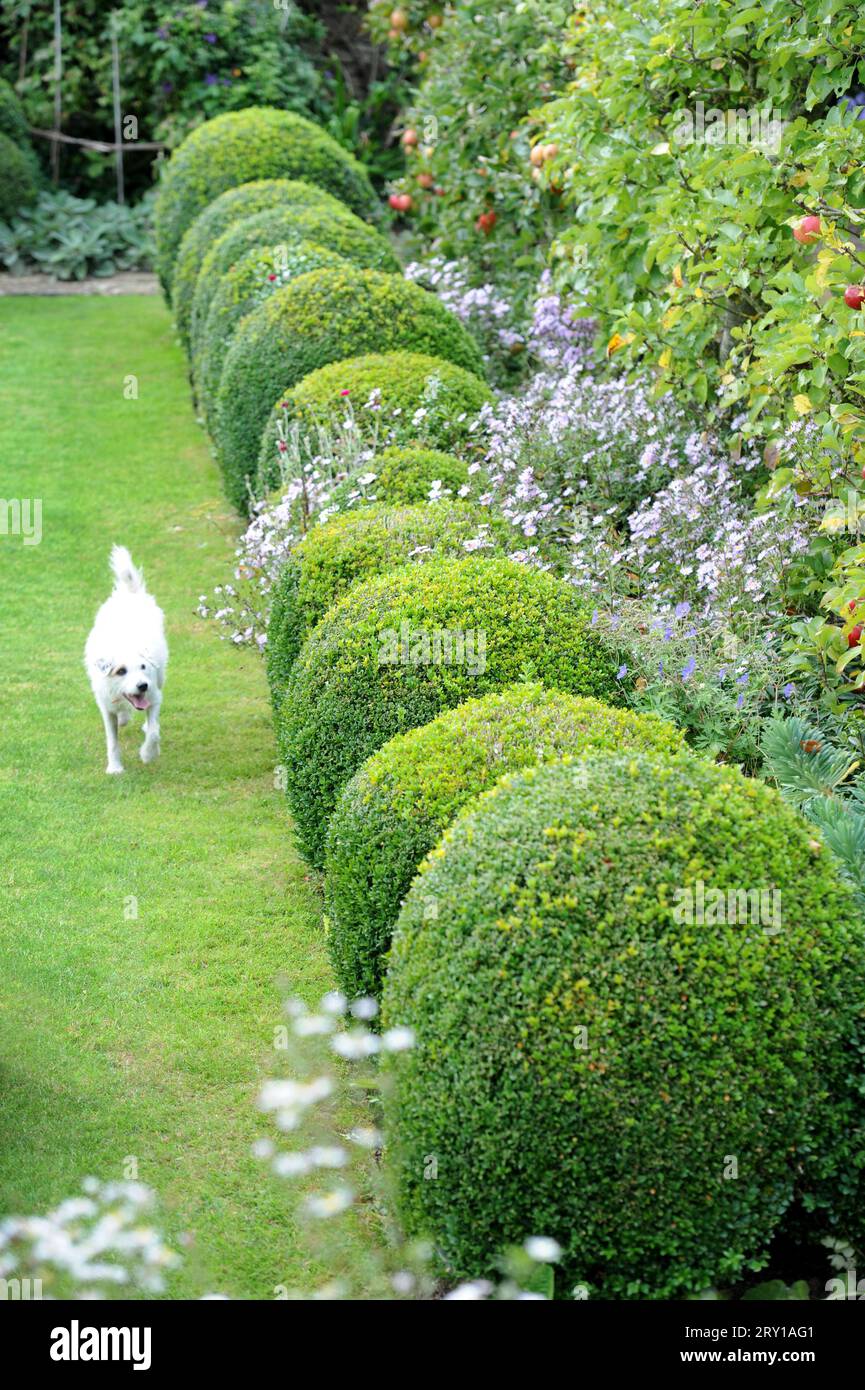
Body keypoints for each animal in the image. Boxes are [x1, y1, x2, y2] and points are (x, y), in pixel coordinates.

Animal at [85, 550, 169, 772]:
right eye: (121, 671)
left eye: (143, 667)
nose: (142, 685)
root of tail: (130, 593)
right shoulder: (106, 707)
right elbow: (112, 741)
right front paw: (115, 768)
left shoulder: (154, 695)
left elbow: (154, 731)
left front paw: (148, 754)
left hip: (160, 677)